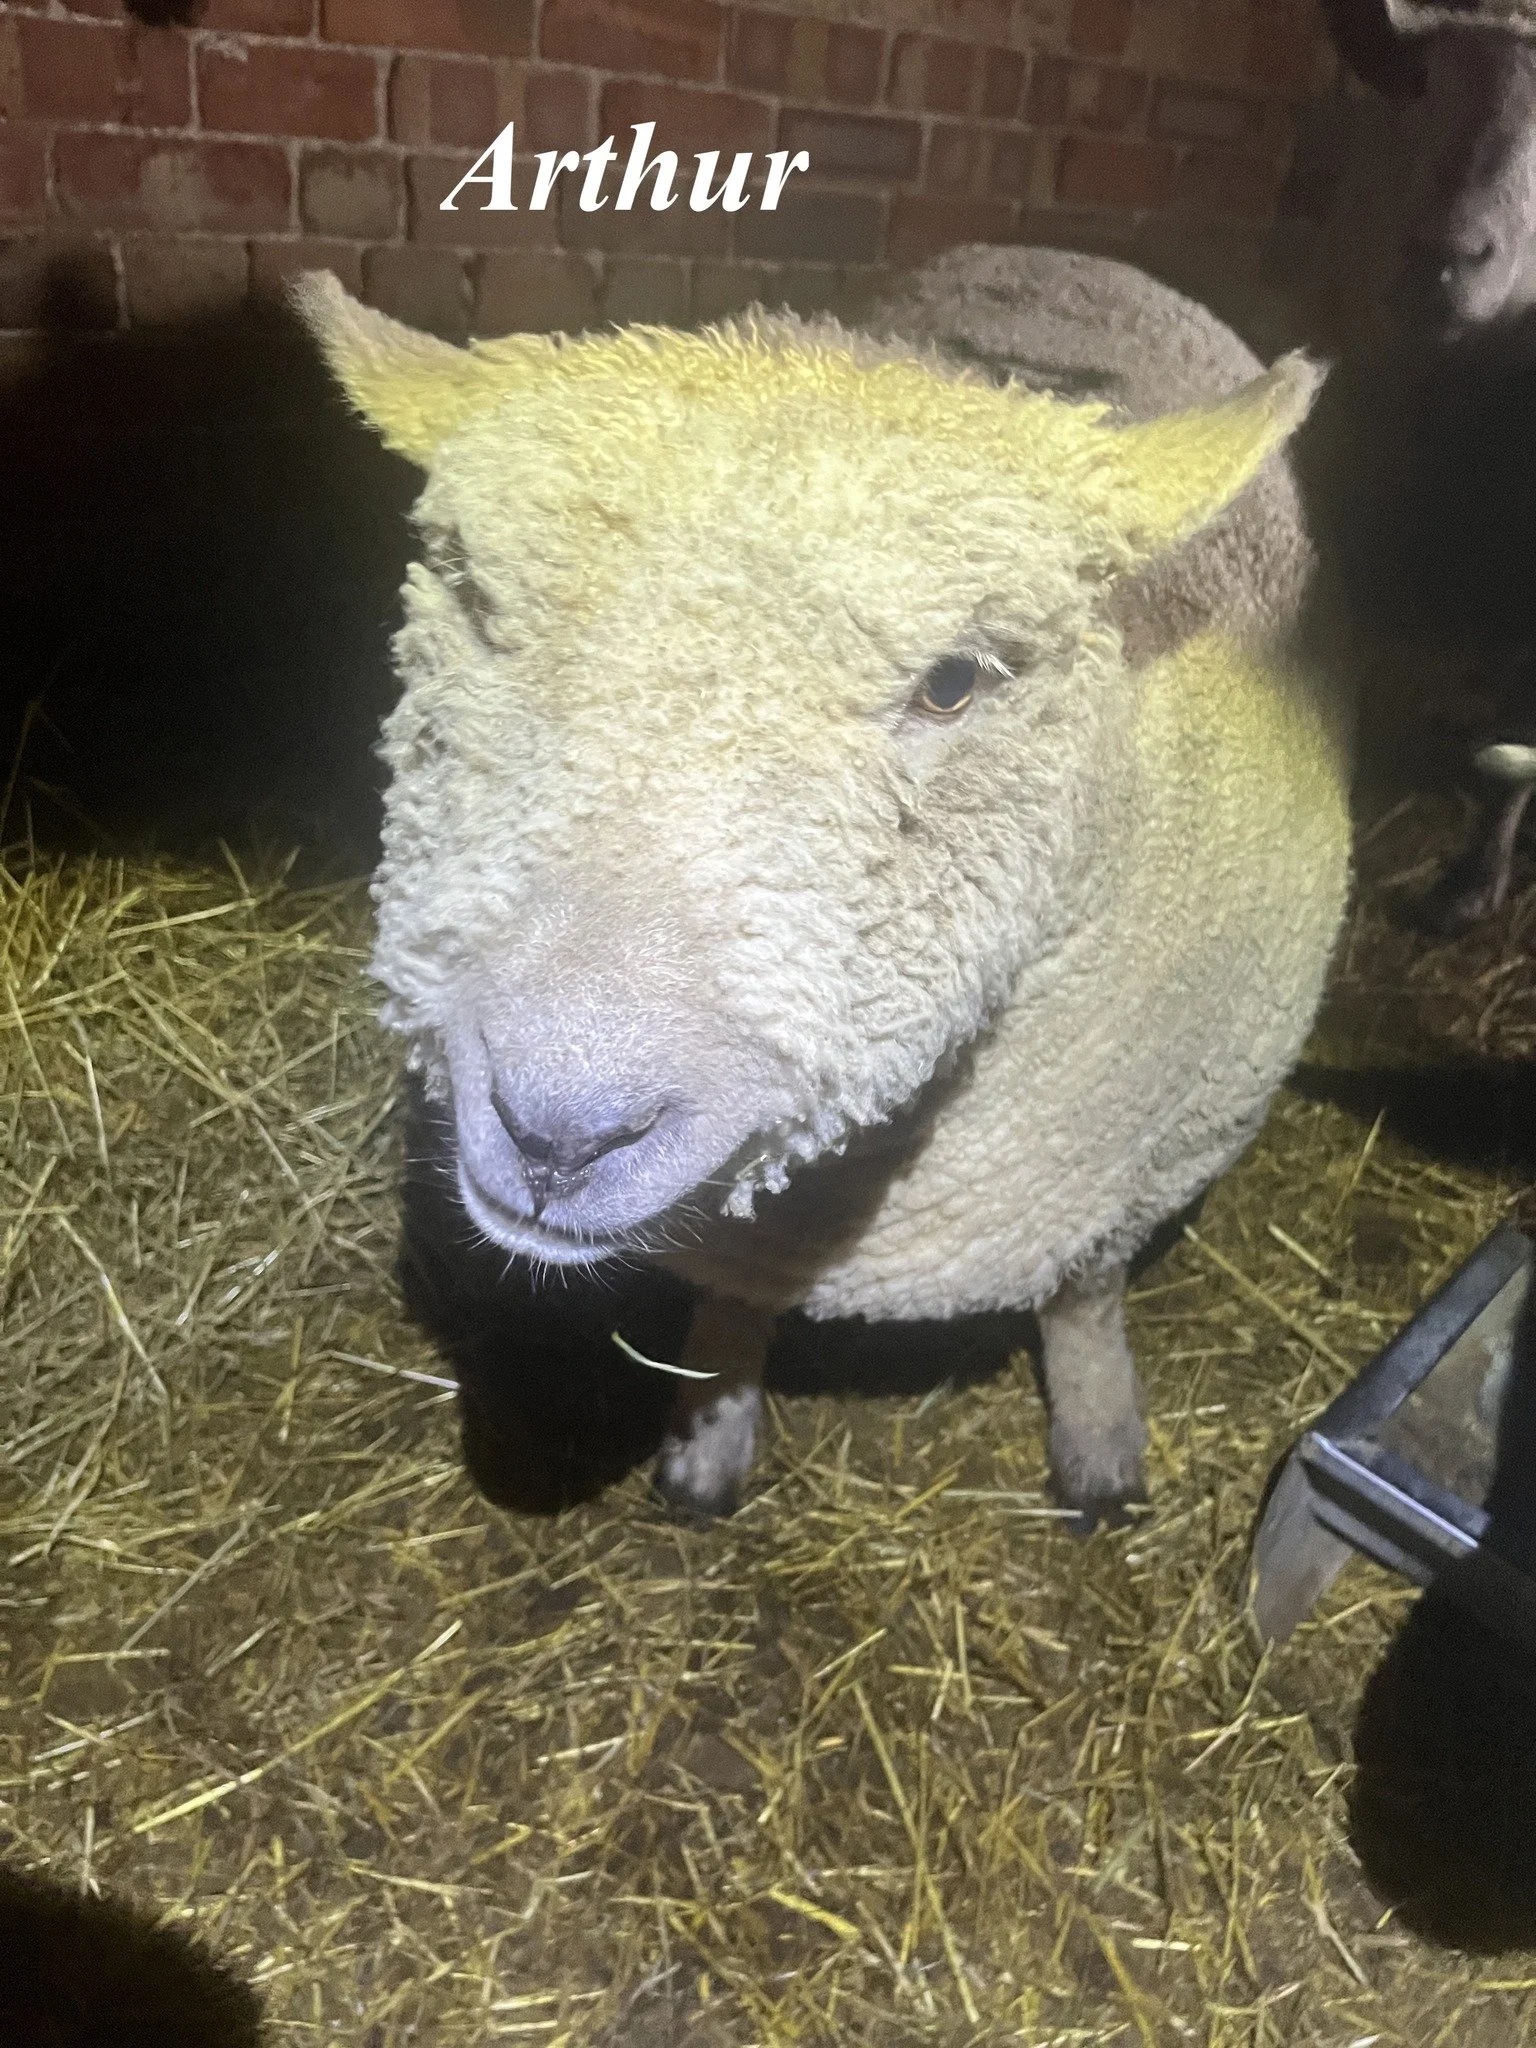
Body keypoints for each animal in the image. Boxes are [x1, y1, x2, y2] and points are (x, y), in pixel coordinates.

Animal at [293, 250, 1351, 1529]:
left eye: (952, 682)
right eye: (483, 608)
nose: (557, 1132)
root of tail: (1055, 257)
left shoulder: (1144, 1159)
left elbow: (1087, 1286)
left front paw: (1100, 1431)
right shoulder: (745, 1241)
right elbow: (734, 1304)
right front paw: (709, 1435)